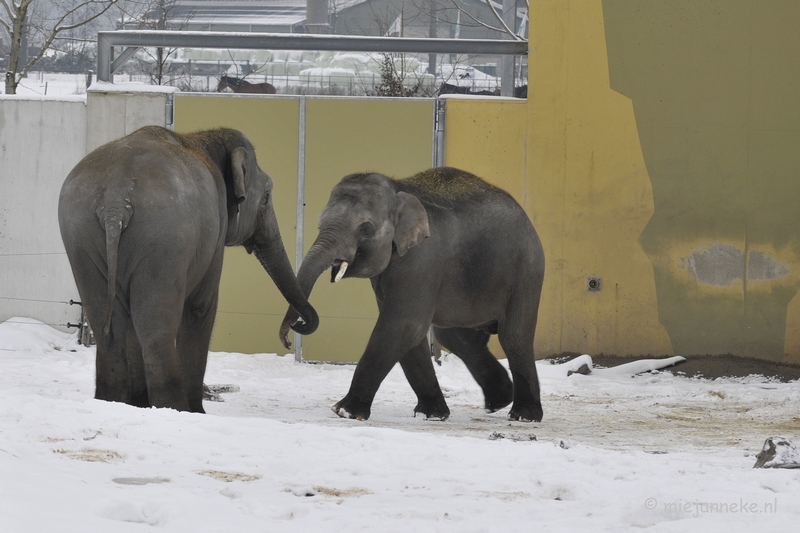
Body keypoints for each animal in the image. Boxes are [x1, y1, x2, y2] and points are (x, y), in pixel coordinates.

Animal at [59, 124, 318, 412]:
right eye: (266, 197)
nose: (293, 332)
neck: (202, 138)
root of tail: (115, 203)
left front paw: (140, 403)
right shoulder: (215, 235)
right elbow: (201, 307)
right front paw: (198, 411)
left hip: (81, 237)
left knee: (111, 328)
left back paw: (113, 401)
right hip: (164, 240)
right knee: (157, 329)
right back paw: (174, 407)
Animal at [282, 166, 544, 420]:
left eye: (366, 228)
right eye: (319, 223)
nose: (290, 335)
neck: (399, 190)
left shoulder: (422, 258)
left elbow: (403, 324)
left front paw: (344, 412)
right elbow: (410, 333)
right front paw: (431, 415)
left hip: (526, 271)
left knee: (514, 336)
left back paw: (523, 416)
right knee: (455, 336)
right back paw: (497, 402)